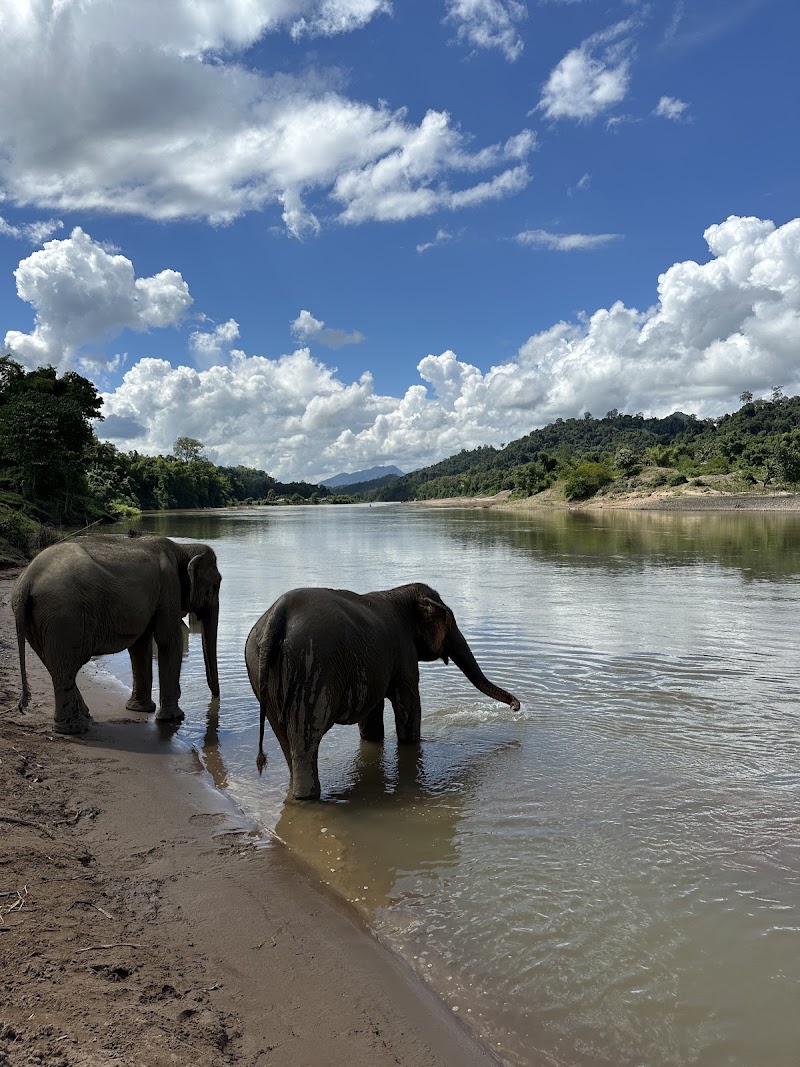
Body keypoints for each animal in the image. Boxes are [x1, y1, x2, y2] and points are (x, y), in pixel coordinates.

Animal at [12, 535, 221, 734]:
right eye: (216, 585)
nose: (215, 701)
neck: (182, 547)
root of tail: (26, 581)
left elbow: (141, 644)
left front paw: (140, 709)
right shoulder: (169, 587)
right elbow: (168, 640)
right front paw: (174, 718)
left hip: (39, 621)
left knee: (55, 665)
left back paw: (83, 717)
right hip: (63, 617)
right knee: (65, 667)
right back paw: (74, 728)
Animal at [244, 582, 520, 800]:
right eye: (450, 623)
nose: (515, 707)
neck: (402, 592)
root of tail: (276, 616)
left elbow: (373, 714)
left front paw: (373, 740)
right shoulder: (404, 652)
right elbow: (409, 704)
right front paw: (414, 743)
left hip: (263, 674)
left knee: (284, 736)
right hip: (311, 667)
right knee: (306, 736)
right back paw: (307, 798)